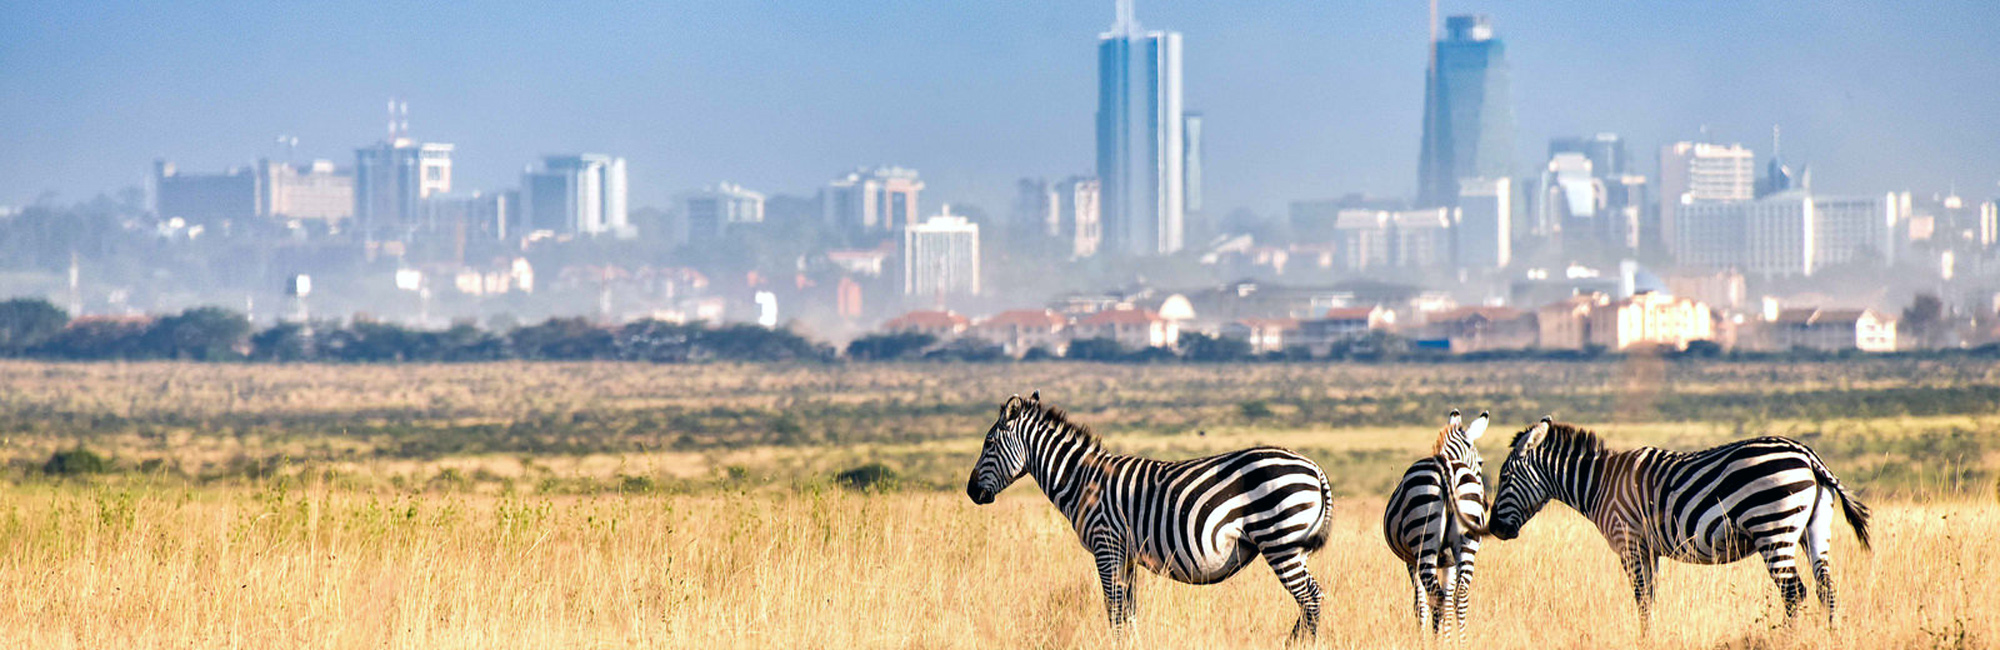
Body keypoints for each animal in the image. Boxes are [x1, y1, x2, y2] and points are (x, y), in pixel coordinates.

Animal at [964, 390, 1336, 636]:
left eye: (988, 444)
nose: (970, 492)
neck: (1081, 480)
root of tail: (1314, 467)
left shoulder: (1107, 545)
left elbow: (1113, 608)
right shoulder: (1126, 554)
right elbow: (1128, 611)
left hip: (1279, 540)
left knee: (1310, 598)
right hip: (1293, 546)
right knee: (1311, 599)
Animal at [1384, 408, 1496, 636]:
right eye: (1481, 462)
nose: (1487, 504)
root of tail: (1447, 467)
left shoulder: (1411, 560)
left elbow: (1420, 604)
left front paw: (1424, 638)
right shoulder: (1449, 561)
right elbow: (1446, 602)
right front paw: (1446, 637)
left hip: (1423, 540)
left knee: (1436, 596)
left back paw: (1437, 640)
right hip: (1466, 543)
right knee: (1459, 596)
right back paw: (1462, 640)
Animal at [1488, 418, 1872, 624]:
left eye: (1504, 477)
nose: (1494, 529)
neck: (1599, 483)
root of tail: (1808, 457)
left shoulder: (1628, 541)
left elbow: (1641, 597)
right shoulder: (1649, 548)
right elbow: (1650, 597)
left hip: (1772, 528)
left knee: (1794, 593)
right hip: (1814, 530)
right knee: (1826, 589)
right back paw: (1830, 636)